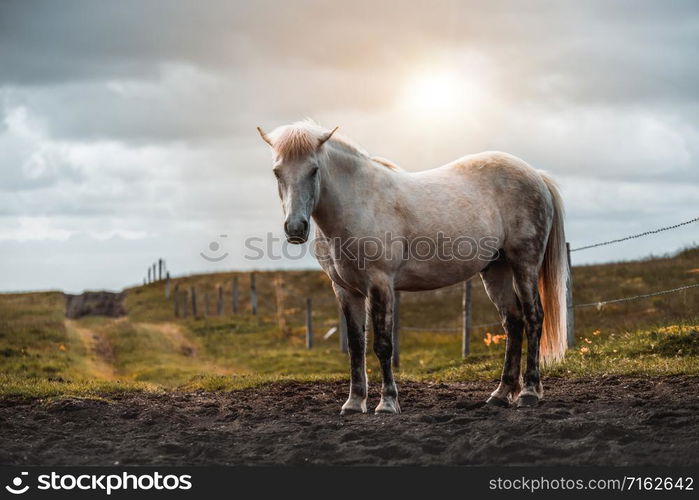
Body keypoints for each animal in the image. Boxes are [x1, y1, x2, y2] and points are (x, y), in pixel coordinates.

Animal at [258, 121, 568, 414]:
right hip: (496, 269)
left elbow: (383, 345)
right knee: (513, 323)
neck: (359, 203)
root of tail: (535, 175)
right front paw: (354, 403)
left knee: (533, 317)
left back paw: (528, 393)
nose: (295, 228)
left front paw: (387, 403)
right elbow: (356, 346)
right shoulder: (345, 290)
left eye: (314, 170)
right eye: (277, 172)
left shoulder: (380, 284)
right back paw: (501, 395)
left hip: (524, 264)